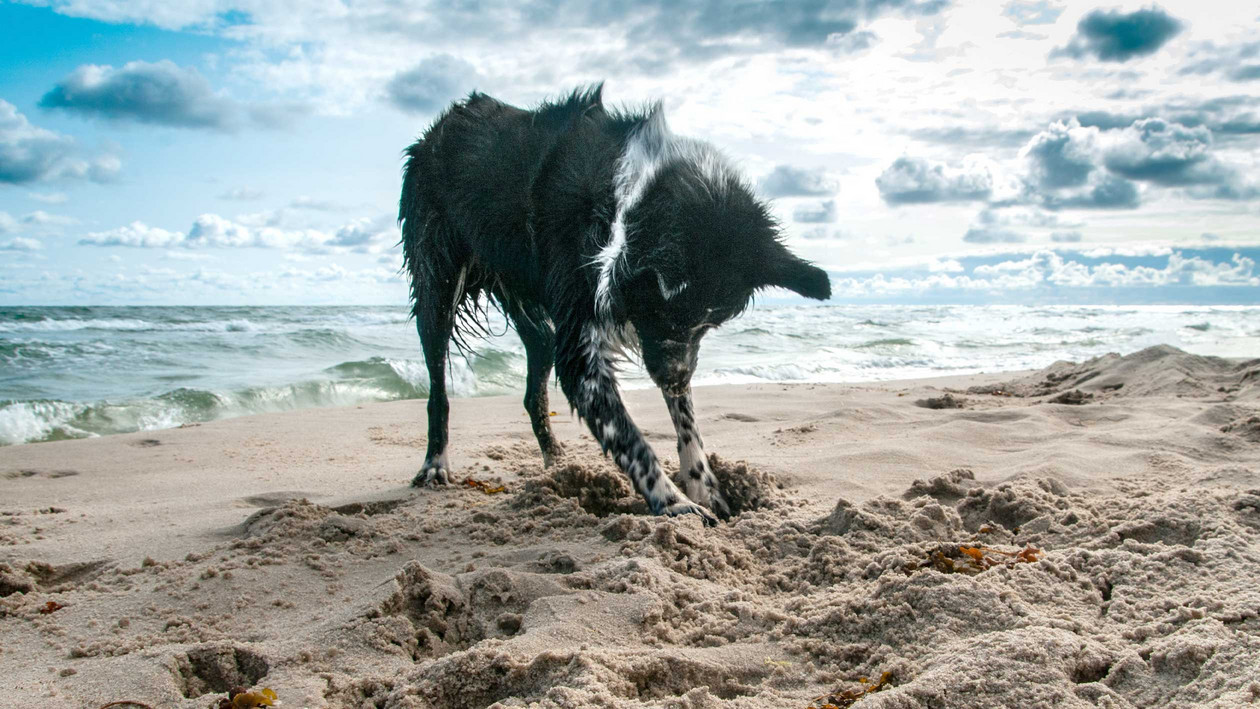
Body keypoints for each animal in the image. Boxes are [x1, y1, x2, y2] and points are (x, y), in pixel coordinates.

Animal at [395, 84, 826, 526]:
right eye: (662, 314)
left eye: (711, 323)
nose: (675, 380)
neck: (624, 198)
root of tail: (441, 125)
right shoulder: (584, 350)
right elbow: (631, 439)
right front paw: (674, 503)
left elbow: (686, 419)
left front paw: (703, 485)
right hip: (437, 283)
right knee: (437, 387)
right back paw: (435, 464)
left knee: (536, 367)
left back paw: (556, 460)